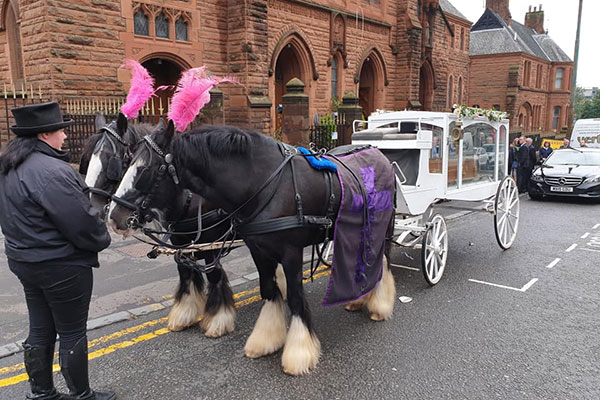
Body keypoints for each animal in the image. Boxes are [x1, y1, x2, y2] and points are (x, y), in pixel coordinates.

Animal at [79, 114, 237, 336]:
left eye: (112, 161)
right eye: (88, 161)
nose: (112, 217)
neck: (188, 196)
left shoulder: (211, 244)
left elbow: (214, 274)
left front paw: (218, 319)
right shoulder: (180, 241)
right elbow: (185, 271)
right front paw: (184, 313)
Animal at [108, 121, 398, 376]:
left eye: (145, 169)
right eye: (127, 162)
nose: (114, 217)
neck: (267, 184)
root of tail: (379, 155)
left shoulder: (290, 253)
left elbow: (293, 297)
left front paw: (298, 352)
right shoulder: (256, 250)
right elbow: (267, 290)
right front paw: (265, 339)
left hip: (381, 228)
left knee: (381, 261)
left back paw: (379, 305)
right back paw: (358, 298)